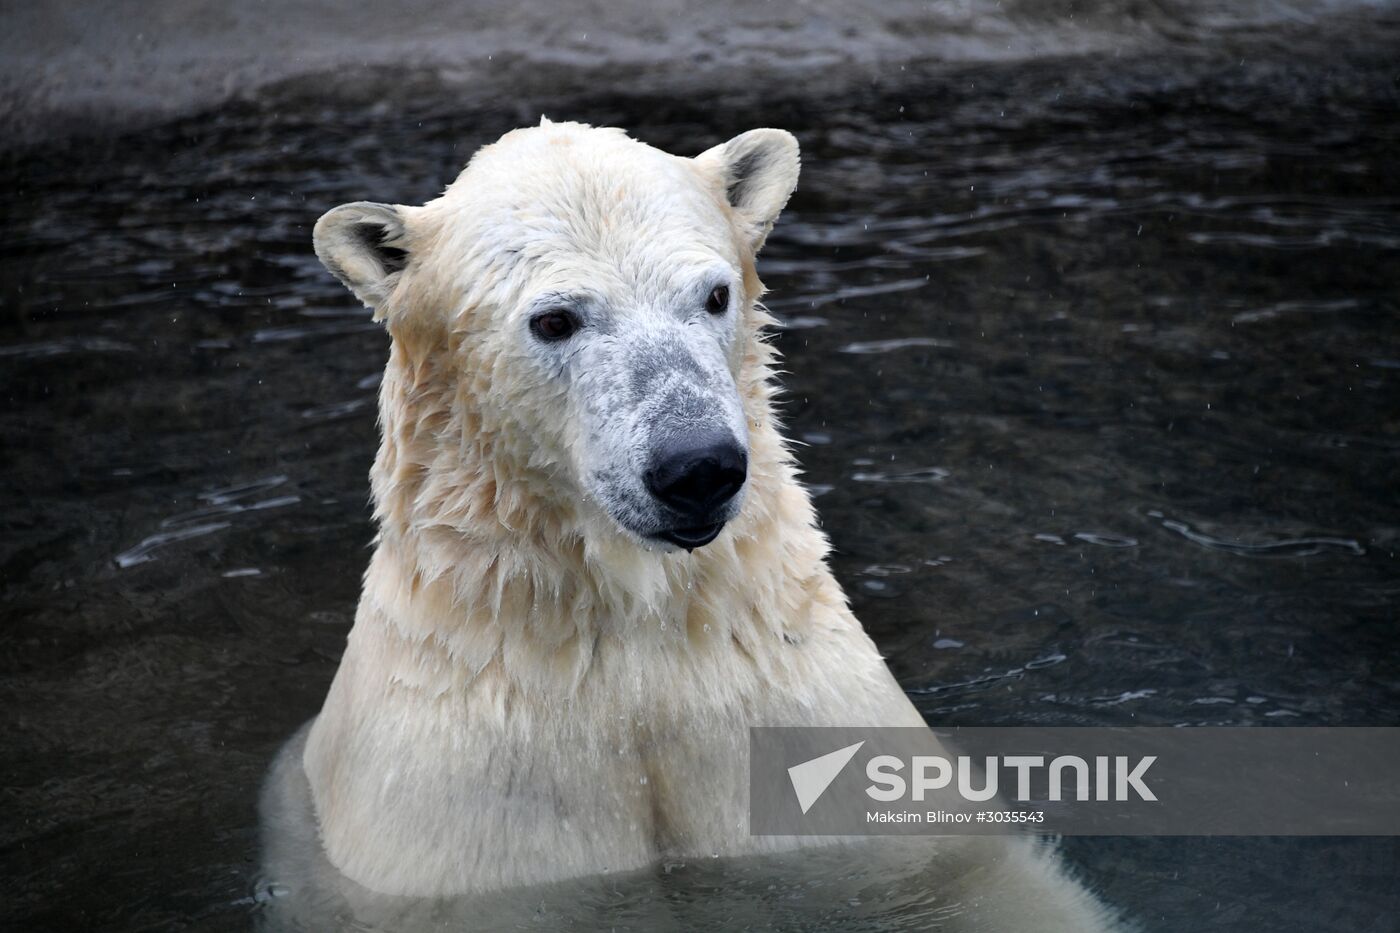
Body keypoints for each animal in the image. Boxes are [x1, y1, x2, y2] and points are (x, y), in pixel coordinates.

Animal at [281, 119, 1120, 930]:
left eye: (714, 294)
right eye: (554, 319)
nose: (697, 466)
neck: (638, 646)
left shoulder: (802, 724)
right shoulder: (464, 805)